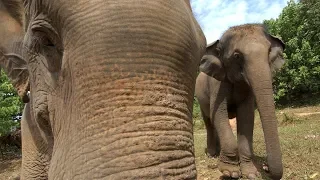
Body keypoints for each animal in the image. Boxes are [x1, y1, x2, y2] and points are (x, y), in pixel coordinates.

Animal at [194, 23, 286, 179]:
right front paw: (230, 172)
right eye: (237, 56)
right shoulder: (217, 84)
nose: (266, 167)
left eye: (268, 51)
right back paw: (212, 155)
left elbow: (246, 116)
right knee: (209, 122)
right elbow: (218, 114)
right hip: (201, 101)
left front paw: (251, 174)